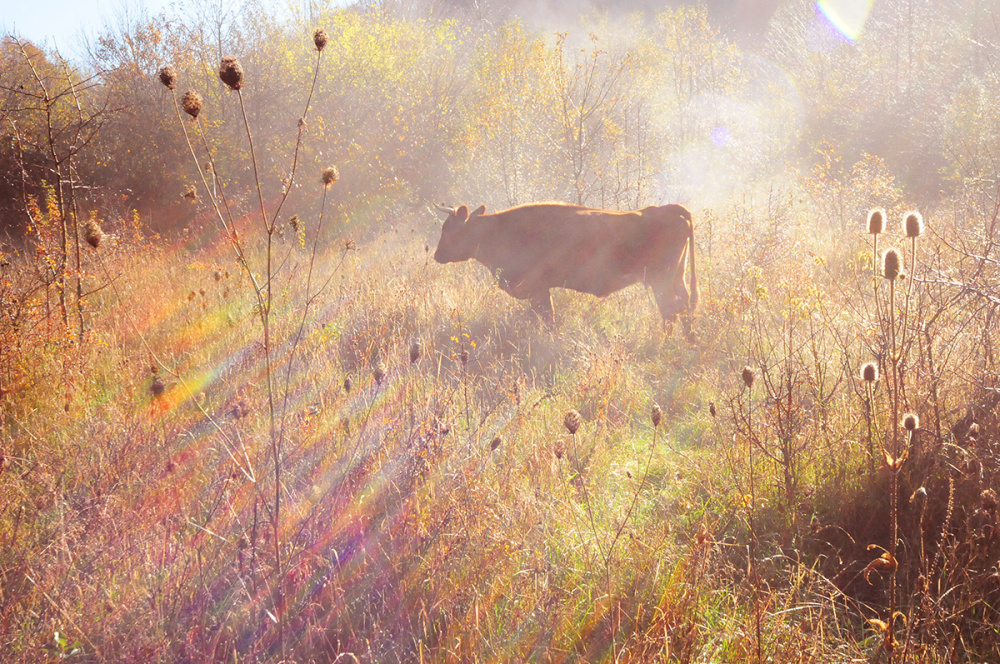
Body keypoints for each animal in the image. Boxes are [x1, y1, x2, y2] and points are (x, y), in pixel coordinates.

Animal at [434, 198, 700, 330]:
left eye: (448, 229)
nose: (437, 255)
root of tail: (668, 209)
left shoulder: (538, 290)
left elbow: (547, 318)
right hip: (676, 277)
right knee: (682, 309)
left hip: (661, 281)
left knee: (671, 310)